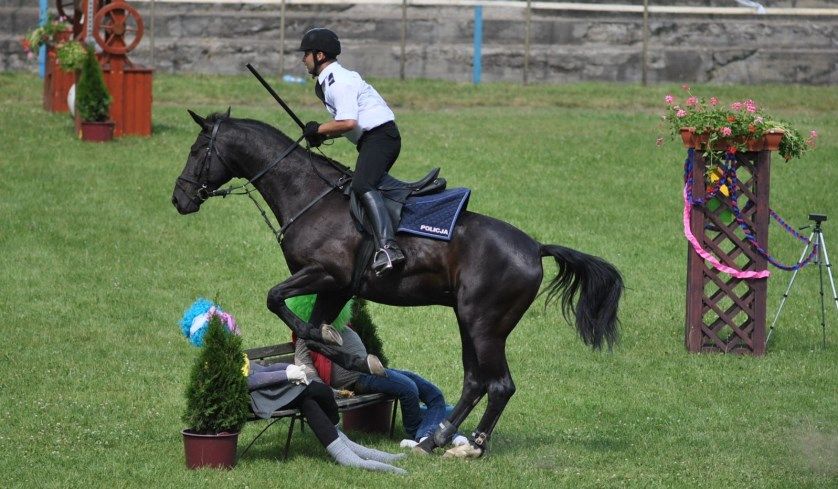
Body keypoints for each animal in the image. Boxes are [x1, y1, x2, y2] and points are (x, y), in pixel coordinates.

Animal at [171, 110, 623, 458]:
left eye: (196, 151)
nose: (180, 199)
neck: (309, 194)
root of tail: (534, 248)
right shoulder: (336, 288)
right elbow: (313, 329)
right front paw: (331, 365)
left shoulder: (327, 275)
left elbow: (278, 301)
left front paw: (356, 361)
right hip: (468, 321)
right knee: (475, 382)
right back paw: (431, 441)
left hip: (485, 325)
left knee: (499, 385)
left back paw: (473, 446)